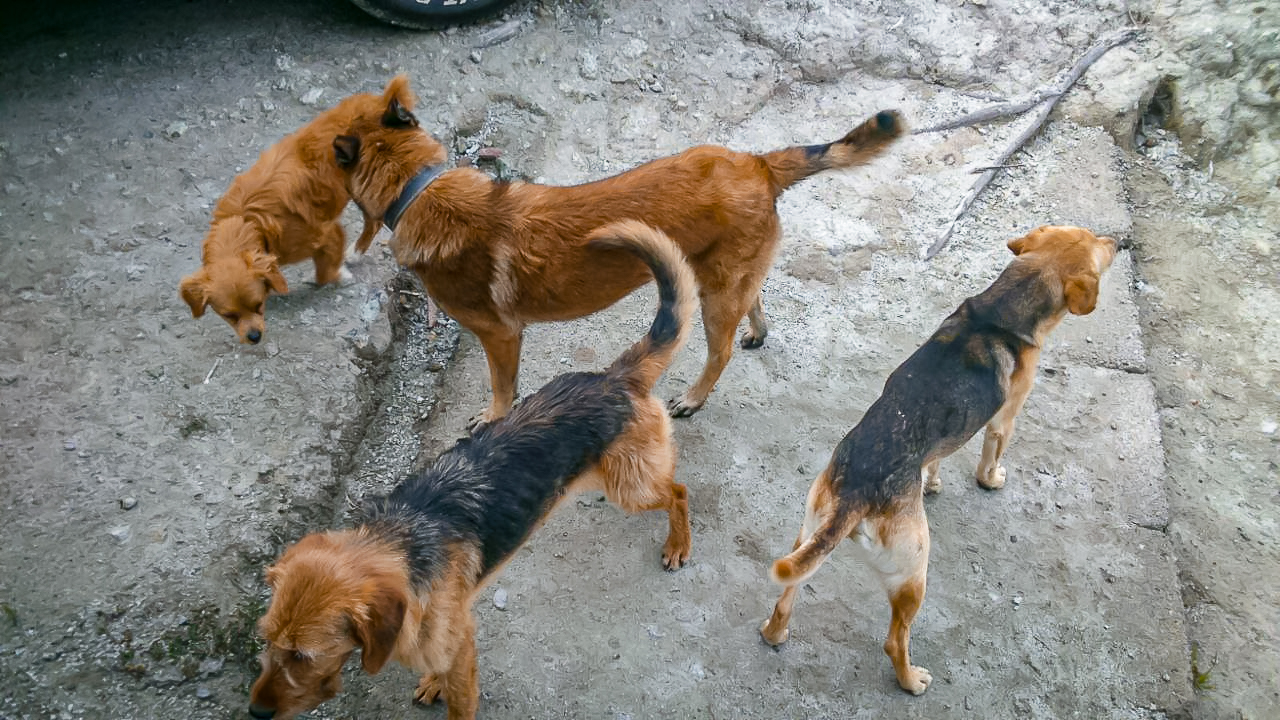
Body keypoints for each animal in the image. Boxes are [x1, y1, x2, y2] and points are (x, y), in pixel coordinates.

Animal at [179, 92, 386, 344]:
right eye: (229, 316)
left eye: (258, 305)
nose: (254, 337)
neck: (248, 222)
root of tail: (380, 99)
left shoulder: (327, 233)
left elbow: (324, 273)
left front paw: (340, 275)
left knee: (374, 221)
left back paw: (355, 253)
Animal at [247, 220, 696, 720]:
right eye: (267, 642)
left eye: (304, 656)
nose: (255, 713)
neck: (402, 542)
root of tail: (614, 378)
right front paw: (432, 683)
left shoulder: (459, 650)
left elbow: (459, 697)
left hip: (632, 488)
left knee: (678, 491)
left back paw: (678, 544)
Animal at [332, 74, 903, 424]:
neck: (418, 187)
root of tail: (757, 163)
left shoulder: (500, 335)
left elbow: (501, 387)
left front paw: (494, 417)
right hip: (727, 274)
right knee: (755, 299)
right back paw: (758, 332)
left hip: (714, 296)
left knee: (717, 352)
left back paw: (694, 398)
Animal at [759, 225, 1117, 695]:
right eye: (1097, 243)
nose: (1117, 242)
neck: (1000, 311)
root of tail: (857, 491)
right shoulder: (1004, 420)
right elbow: (989, 457)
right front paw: (992, 479)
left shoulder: (943, 440)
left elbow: (937, 458)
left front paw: (931, 482)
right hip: (914, 574)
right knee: (895, 641)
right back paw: (911, 681)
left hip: (808, 535)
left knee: (787, 600)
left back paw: (775, 633)